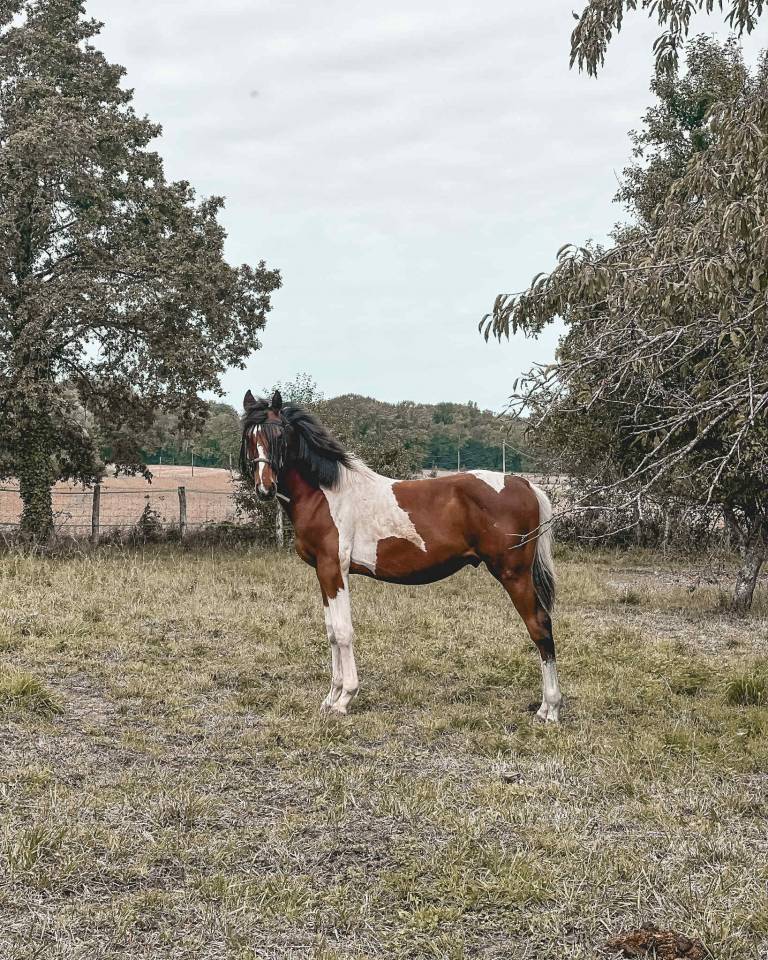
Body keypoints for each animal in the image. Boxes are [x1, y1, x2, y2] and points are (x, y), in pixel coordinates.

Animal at [240, 390, 562, 722]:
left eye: (280, 435)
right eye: (250, 436)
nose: (265, 488)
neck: (326, 495)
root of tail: (524, 483)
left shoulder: (334, 569)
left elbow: (343, 632)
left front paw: (344, 699)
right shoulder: (322, 572)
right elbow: (330, 632)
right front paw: (330, 698)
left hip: (514, 575)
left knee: (540, 627)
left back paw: (549, 709)